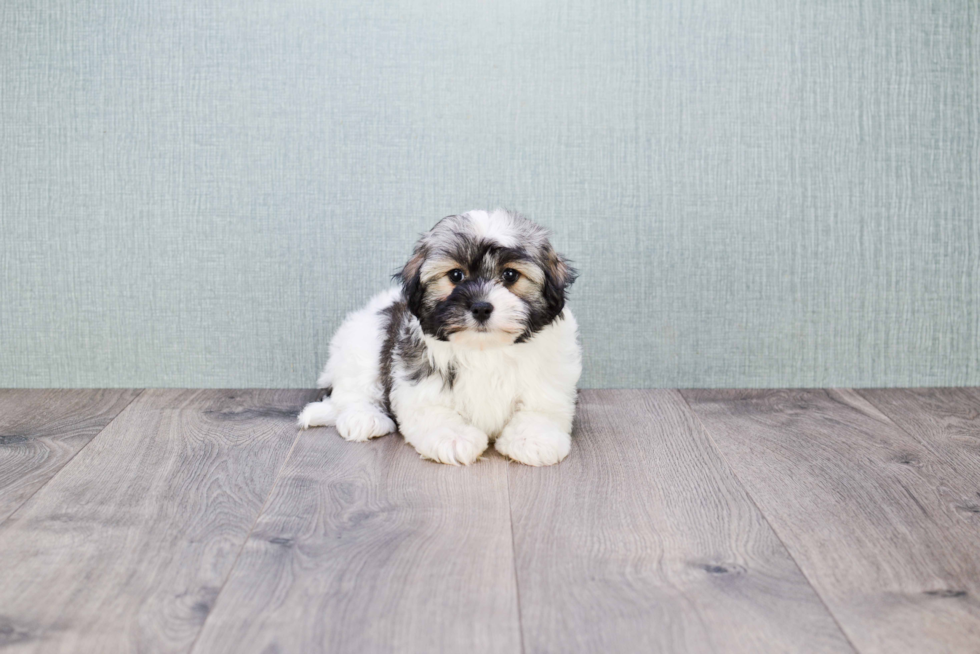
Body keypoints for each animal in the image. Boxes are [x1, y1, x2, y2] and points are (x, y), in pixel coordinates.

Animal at [294, 210, 580, 466]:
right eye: (456, 275)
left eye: (510, 275)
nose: (481, 307)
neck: (484, 350)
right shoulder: (418, 379)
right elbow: (434, 411)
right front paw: (453, 438)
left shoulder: (548, 380)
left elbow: (539, 410)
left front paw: (533, 439)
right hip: (364, 339)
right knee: (353, 391)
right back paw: (364, 418)